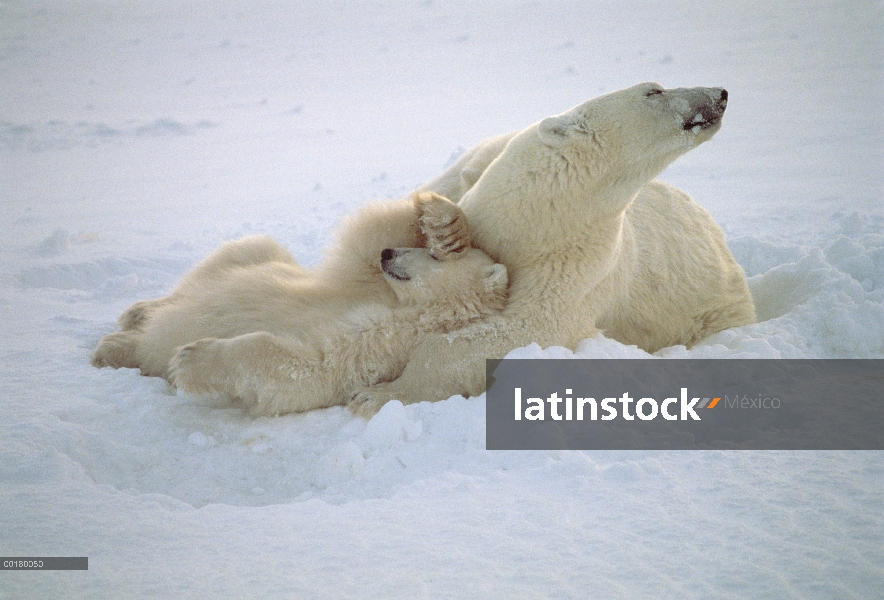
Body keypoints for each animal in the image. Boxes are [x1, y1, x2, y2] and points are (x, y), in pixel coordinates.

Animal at [348, 81, 756, 418]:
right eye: (653, 90)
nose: (720, 93)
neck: (542, 215)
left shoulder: (581, 262)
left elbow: (531, 329)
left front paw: (375, 395)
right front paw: (444, 228)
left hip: (717, 311)